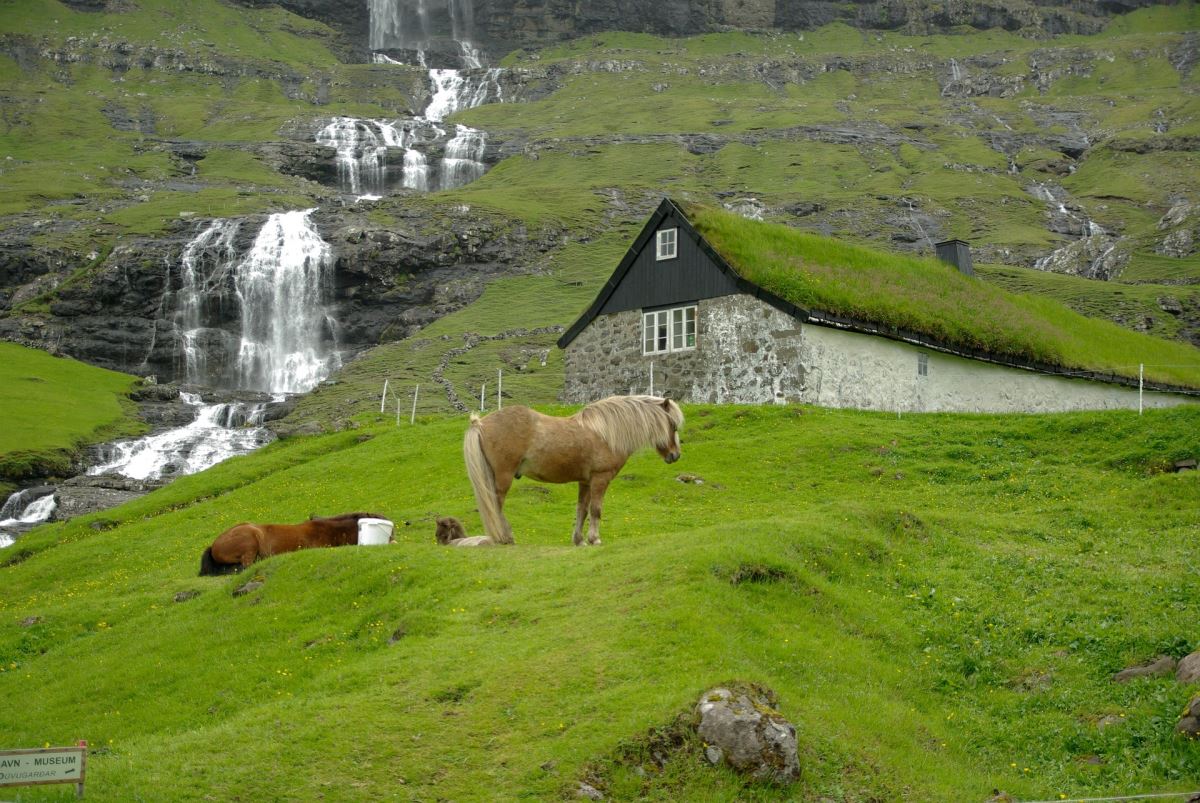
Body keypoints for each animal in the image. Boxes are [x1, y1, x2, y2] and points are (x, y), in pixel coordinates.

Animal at [460, 393, 686, 544]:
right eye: (673, 425)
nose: (675, 455)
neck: (606, 433)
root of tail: (481, 423)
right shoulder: (600, 479)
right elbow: (596, 510)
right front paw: (595, 539)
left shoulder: (585, 482)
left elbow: (582, 510)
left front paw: (579, 540)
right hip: (503, 477)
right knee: (495, 505)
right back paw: (504, 537)